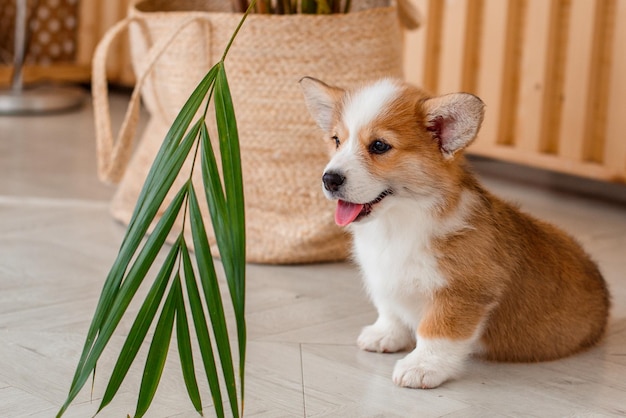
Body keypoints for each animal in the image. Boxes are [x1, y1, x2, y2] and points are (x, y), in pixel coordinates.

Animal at [300, 77, 608, 388]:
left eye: (378, 146)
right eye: (336, 140)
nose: (329, 179)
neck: (399, 222)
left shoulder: (462, 292)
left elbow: (437, 332)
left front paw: (421, 367)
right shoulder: (384, 278)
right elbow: (390, 309)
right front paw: (385, 335)